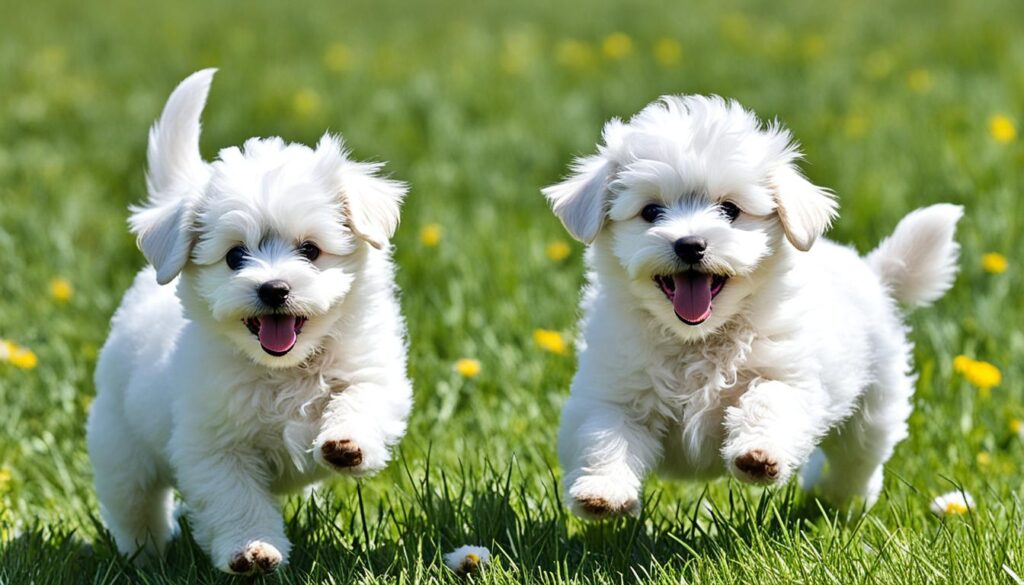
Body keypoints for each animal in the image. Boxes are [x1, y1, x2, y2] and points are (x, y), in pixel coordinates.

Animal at [84, 69, 411, 577]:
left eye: (310, 250)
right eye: (236, 256)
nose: (273, 288)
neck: (286, 370)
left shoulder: (373, 374)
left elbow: (360, 400)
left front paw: (345, 442)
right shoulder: (214, 445)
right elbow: (235, 499)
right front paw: (252, 550)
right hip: (120, 445)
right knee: (134, 505)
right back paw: (146, 556)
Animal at [548, 96, 962, 522]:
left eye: (730, 210)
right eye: (650, 212)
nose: (690, 244)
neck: (698, 340)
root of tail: (874, 272)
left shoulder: (790, 374)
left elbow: (770, 400)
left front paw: (758, 455)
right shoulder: (610, 389)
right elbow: (603, 434)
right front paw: (602, 491)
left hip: (876, 404)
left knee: (858, 460)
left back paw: (841, 500)